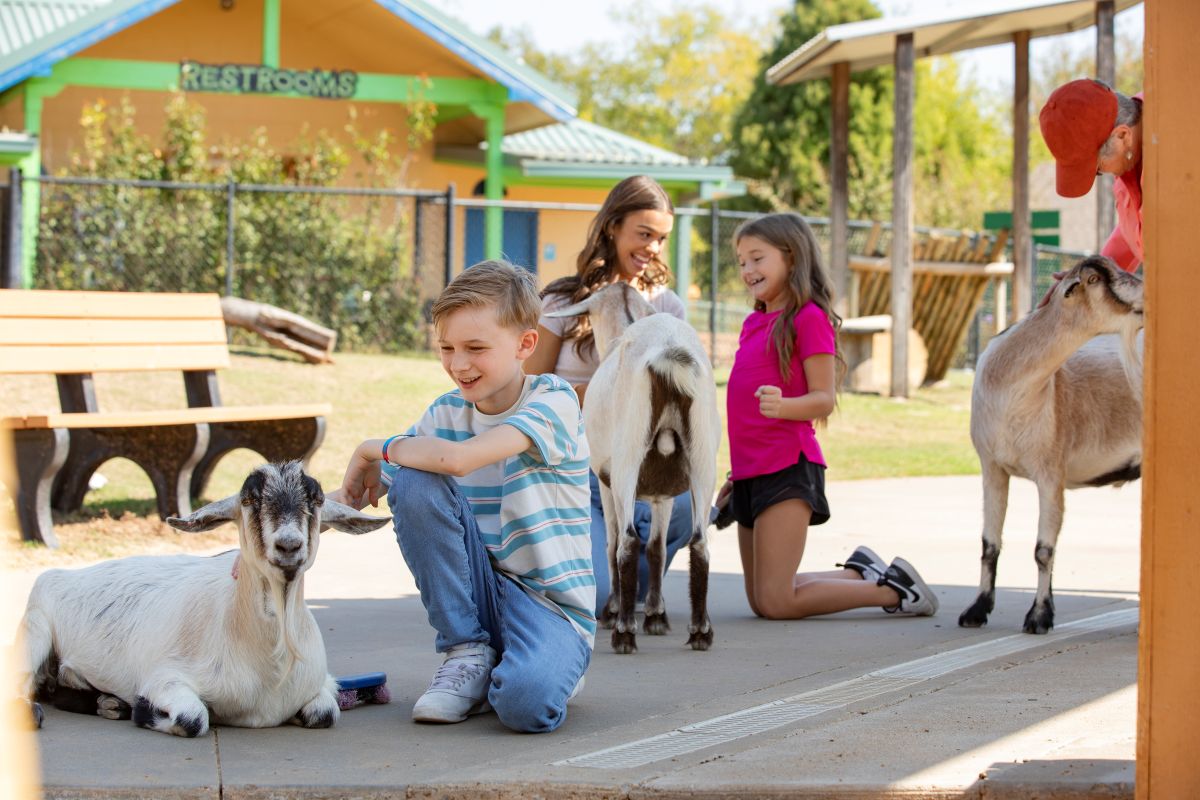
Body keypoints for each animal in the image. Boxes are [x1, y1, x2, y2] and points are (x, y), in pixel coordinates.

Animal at [17, 461, 389, 736]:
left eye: (316, 500)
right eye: (249, 500)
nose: (288, 546)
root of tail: (63, 574)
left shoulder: (322, 683)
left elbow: (325, 713)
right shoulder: (164, 678)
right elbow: (193, 718)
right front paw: (140, 710)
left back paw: (106, 703)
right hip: (34, 629)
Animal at [548, 282, 720, 653]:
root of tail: (669, 353)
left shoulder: (606, 481)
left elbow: (613, 544)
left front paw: (615, 612)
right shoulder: (663, 493)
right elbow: (656, 548)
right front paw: (656, 616)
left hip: (627, 455)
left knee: (627, 542)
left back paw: (624, 631)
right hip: (703, 461)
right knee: (699, 543)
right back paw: (700, 632)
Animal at [959, 256, 1144, 634]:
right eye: (1096, 280)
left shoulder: (1051, 472)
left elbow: (1043, 549)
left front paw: (1039, 617)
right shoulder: (992, 467)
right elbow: (989, 544)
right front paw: (977, 610)